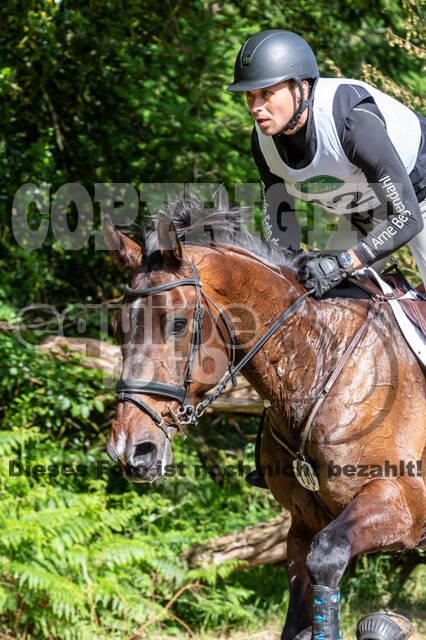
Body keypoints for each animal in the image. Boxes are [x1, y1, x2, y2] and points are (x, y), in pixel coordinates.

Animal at [103, 198, 426, 640]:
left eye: (179, 324)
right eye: (117, 328)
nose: (131, 451)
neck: (321, 366)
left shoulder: (404, 504)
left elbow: (327, 557)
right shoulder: (303, 524)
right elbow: (299, 608)